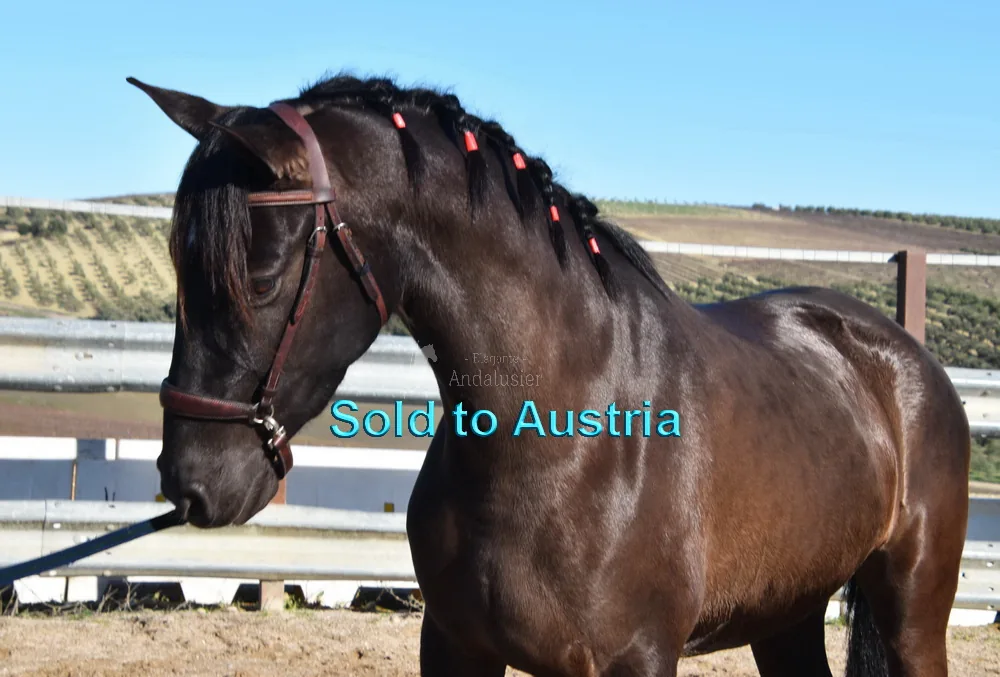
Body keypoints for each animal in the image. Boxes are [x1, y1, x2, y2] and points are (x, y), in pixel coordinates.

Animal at [129, 73, 970, 677]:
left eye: (262, 276)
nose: (189, 479)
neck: (566, 430)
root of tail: (901, 357)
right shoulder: (456, 647)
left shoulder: (636, 660)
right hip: (787, 614)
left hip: (912, 615)